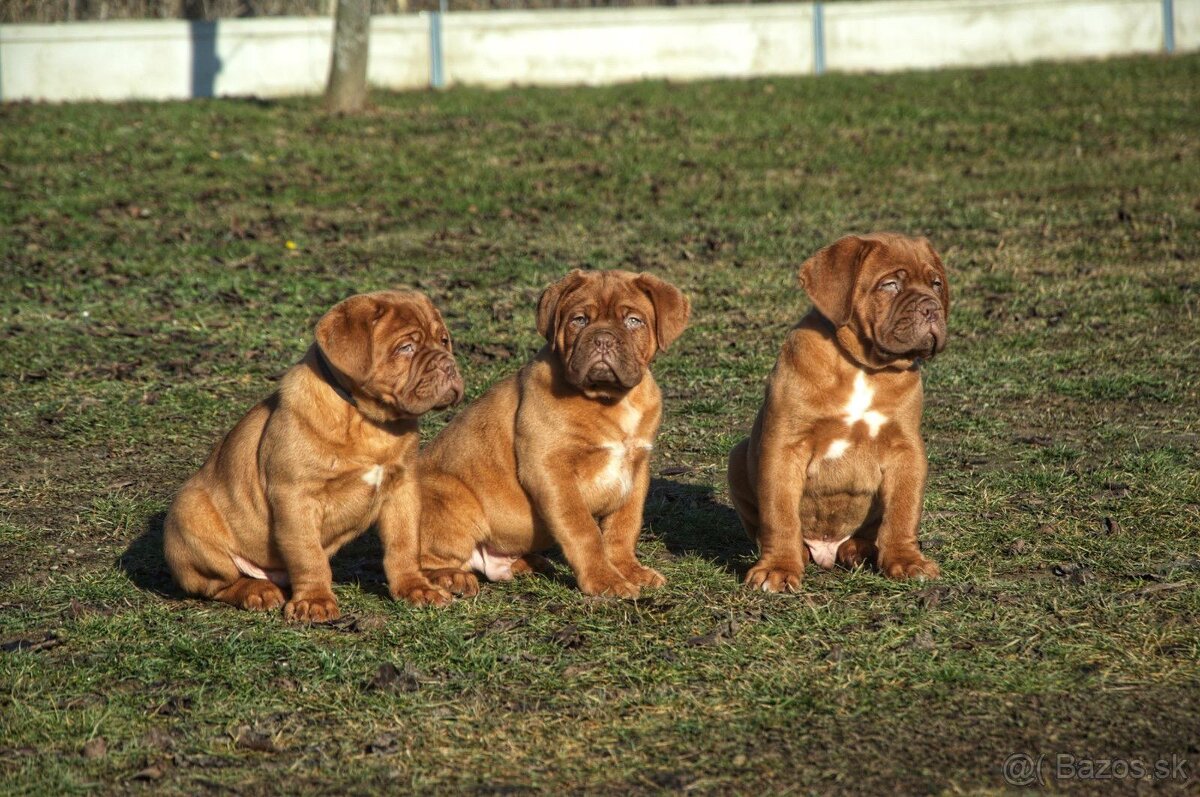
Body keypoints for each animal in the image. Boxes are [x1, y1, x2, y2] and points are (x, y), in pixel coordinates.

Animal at [159, 289, 458, 619]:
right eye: (406, 348)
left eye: (444, 340)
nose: (449, 365)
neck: (367, 420)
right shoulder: (296, 496)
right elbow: (308, 554)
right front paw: (314, 601)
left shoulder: (402, 489)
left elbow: (404, 545)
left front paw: (416, 588)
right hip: (190, 517)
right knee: (219, 584)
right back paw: (257, 591)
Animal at [417, 267, 691, 597]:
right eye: (579, 320)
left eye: (633, 321)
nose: (602, 339)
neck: (610, 400)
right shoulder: (551, 469)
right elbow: (583, 530)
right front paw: (605, 580)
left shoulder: (636, 471)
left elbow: (623, 527)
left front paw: (628, 569)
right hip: (450, 496)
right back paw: (450, 578)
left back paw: (527, 563)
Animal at [724, 230, 950, 590]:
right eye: (890, 285)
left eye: (937, 284)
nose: (931, 308)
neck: (863, 366)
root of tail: (827, 550)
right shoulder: (784, 447)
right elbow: (780, 514)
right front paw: (778, 568)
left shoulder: (906, 450)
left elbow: (903, 511)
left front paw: (906, 560)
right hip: (737, 456)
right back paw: (801, 553)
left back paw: (860, 549)